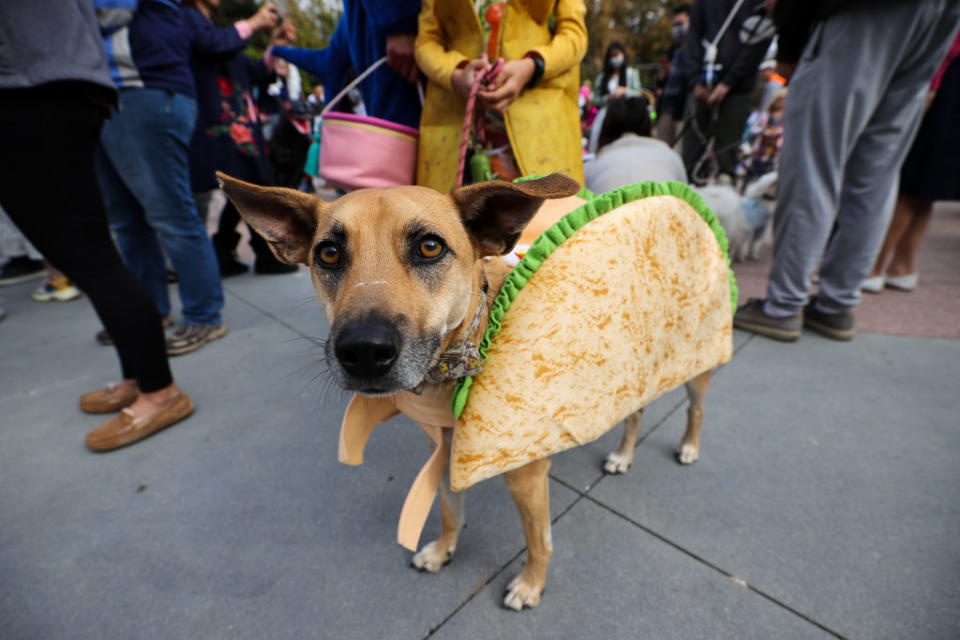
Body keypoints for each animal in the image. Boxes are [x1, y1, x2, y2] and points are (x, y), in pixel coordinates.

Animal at [219, 174, 712, 608]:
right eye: (329, 253)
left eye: (430, 247)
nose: (363, 352)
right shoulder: (441, 446)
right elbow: (449, 510)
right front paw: (443, 550)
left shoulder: (526, 475)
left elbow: (538, 539)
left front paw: (531, 585)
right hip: (631, 367)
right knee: (636, 411)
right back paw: (624, 455)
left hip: (698, 362)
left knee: (695, 410)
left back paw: (689, 445)